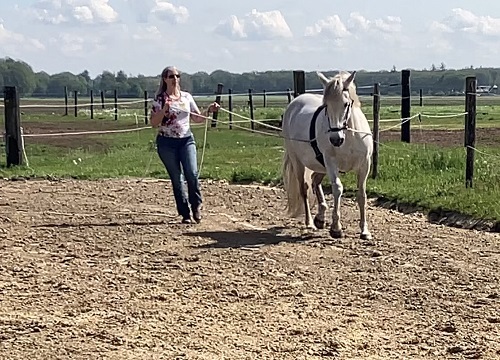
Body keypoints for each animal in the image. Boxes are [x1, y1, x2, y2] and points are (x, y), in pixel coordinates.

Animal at [280, 70, 374, 239]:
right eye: (326, 106)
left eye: (346, 103)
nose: (335, 139)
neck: (349, 137)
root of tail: (294, 103)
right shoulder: (331, 162)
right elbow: (337, 188)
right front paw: (336, 228)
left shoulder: (365, 165)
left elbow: (362, 195)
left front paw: (365, 231)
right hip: (298, 162)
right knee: (304, 188)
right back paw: (310, 222)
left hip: (320, 167)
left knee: (315, 183)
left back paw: (320, 217)